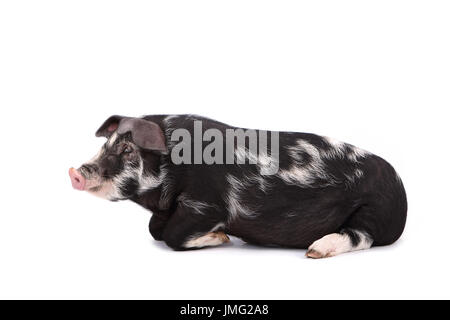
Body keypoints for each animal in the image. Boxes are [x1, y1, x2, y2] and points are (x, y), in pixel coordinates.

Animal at [67, 114, 408, 258]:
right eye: (106, 144)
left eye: (128, 150)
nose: (75, 173)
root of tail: (401, 189)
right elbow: (154, 229)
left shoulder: (206, 203)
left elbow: (174, 235)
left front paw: (223, 237)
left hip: (373, 210)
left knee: (361, 237)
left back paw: (315, 251)